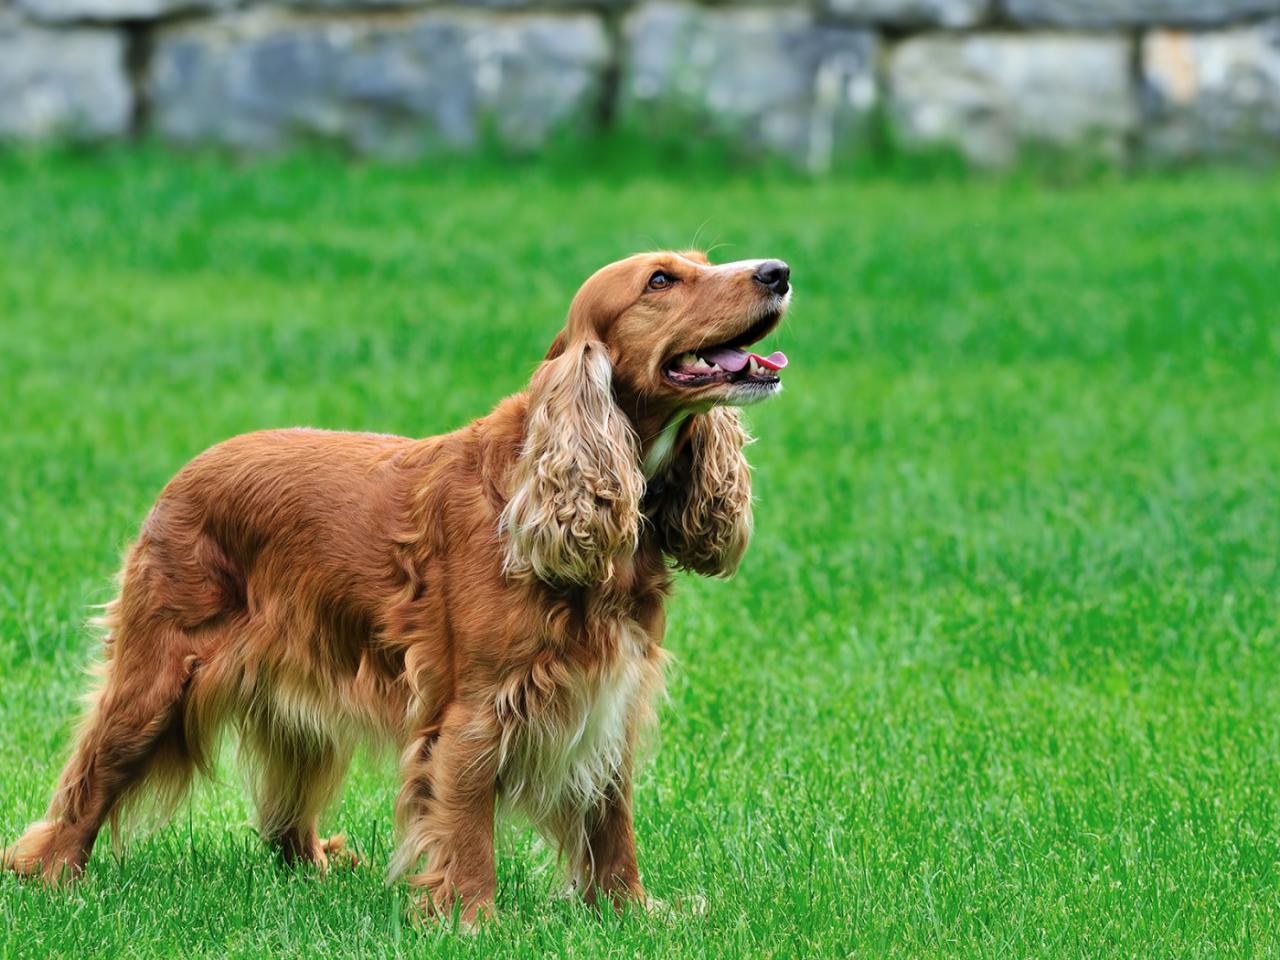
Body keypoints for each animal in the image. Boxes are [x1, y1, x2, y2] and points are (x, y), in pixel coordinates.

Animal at [2, 249, 788, 926]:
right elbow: (466, 823)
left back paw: (318, 867)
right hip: (158, 675)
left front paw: (630, 912)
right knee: (88, 781)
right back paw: (52, 875)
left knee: (285, 815)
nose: (777, 271)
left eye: (700, 261)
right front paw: (473, 920)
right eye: (661, 280)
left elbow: (611, 818)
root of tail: (186, 472)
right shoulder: (476, 708)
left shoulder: (609, 695)